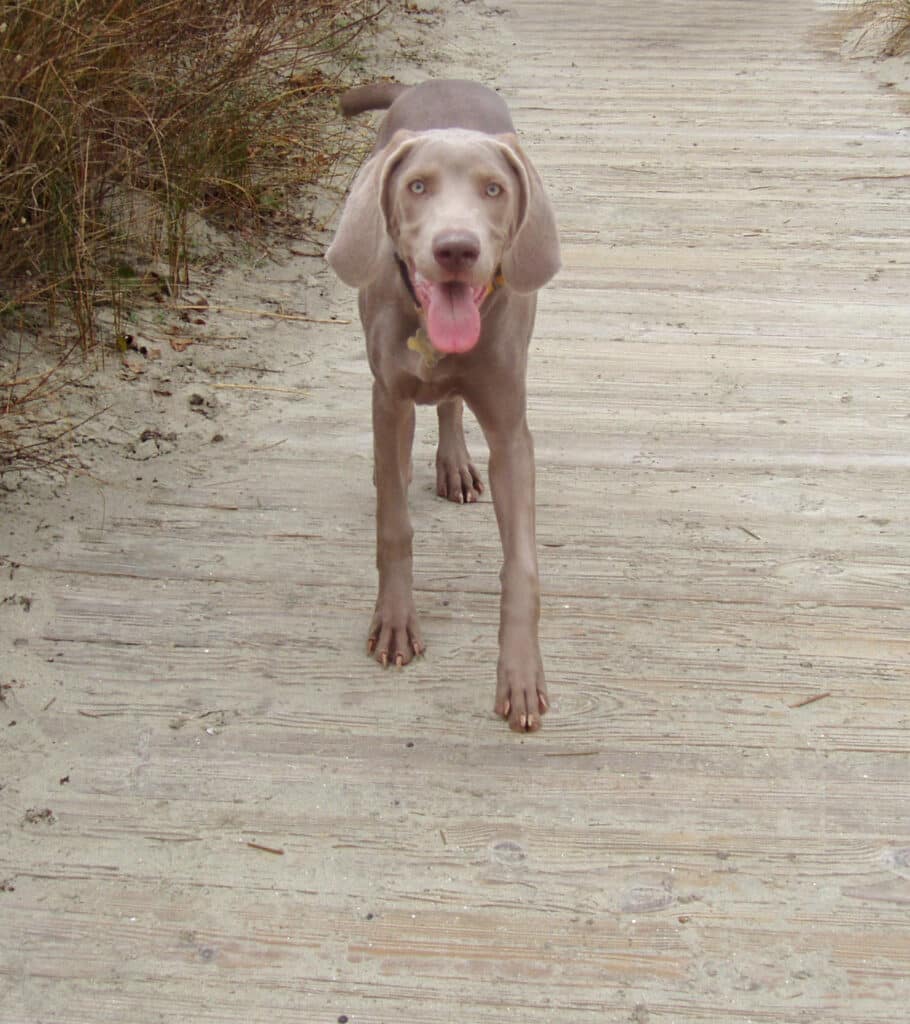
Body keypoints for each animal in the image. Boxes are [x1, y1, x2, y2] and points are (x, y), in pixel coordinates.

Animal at [323, 81, 556, 737]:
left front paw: (521, 676)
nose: (455, 248)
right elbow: (394, 526)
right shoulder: (388, 399)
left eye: (494, 189)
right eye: (418, 186)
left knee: (450, 404)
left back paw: (453, 463)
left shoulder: (511, 432)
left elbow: (521, 565)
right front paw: (396, 621)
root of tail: (431, 82)